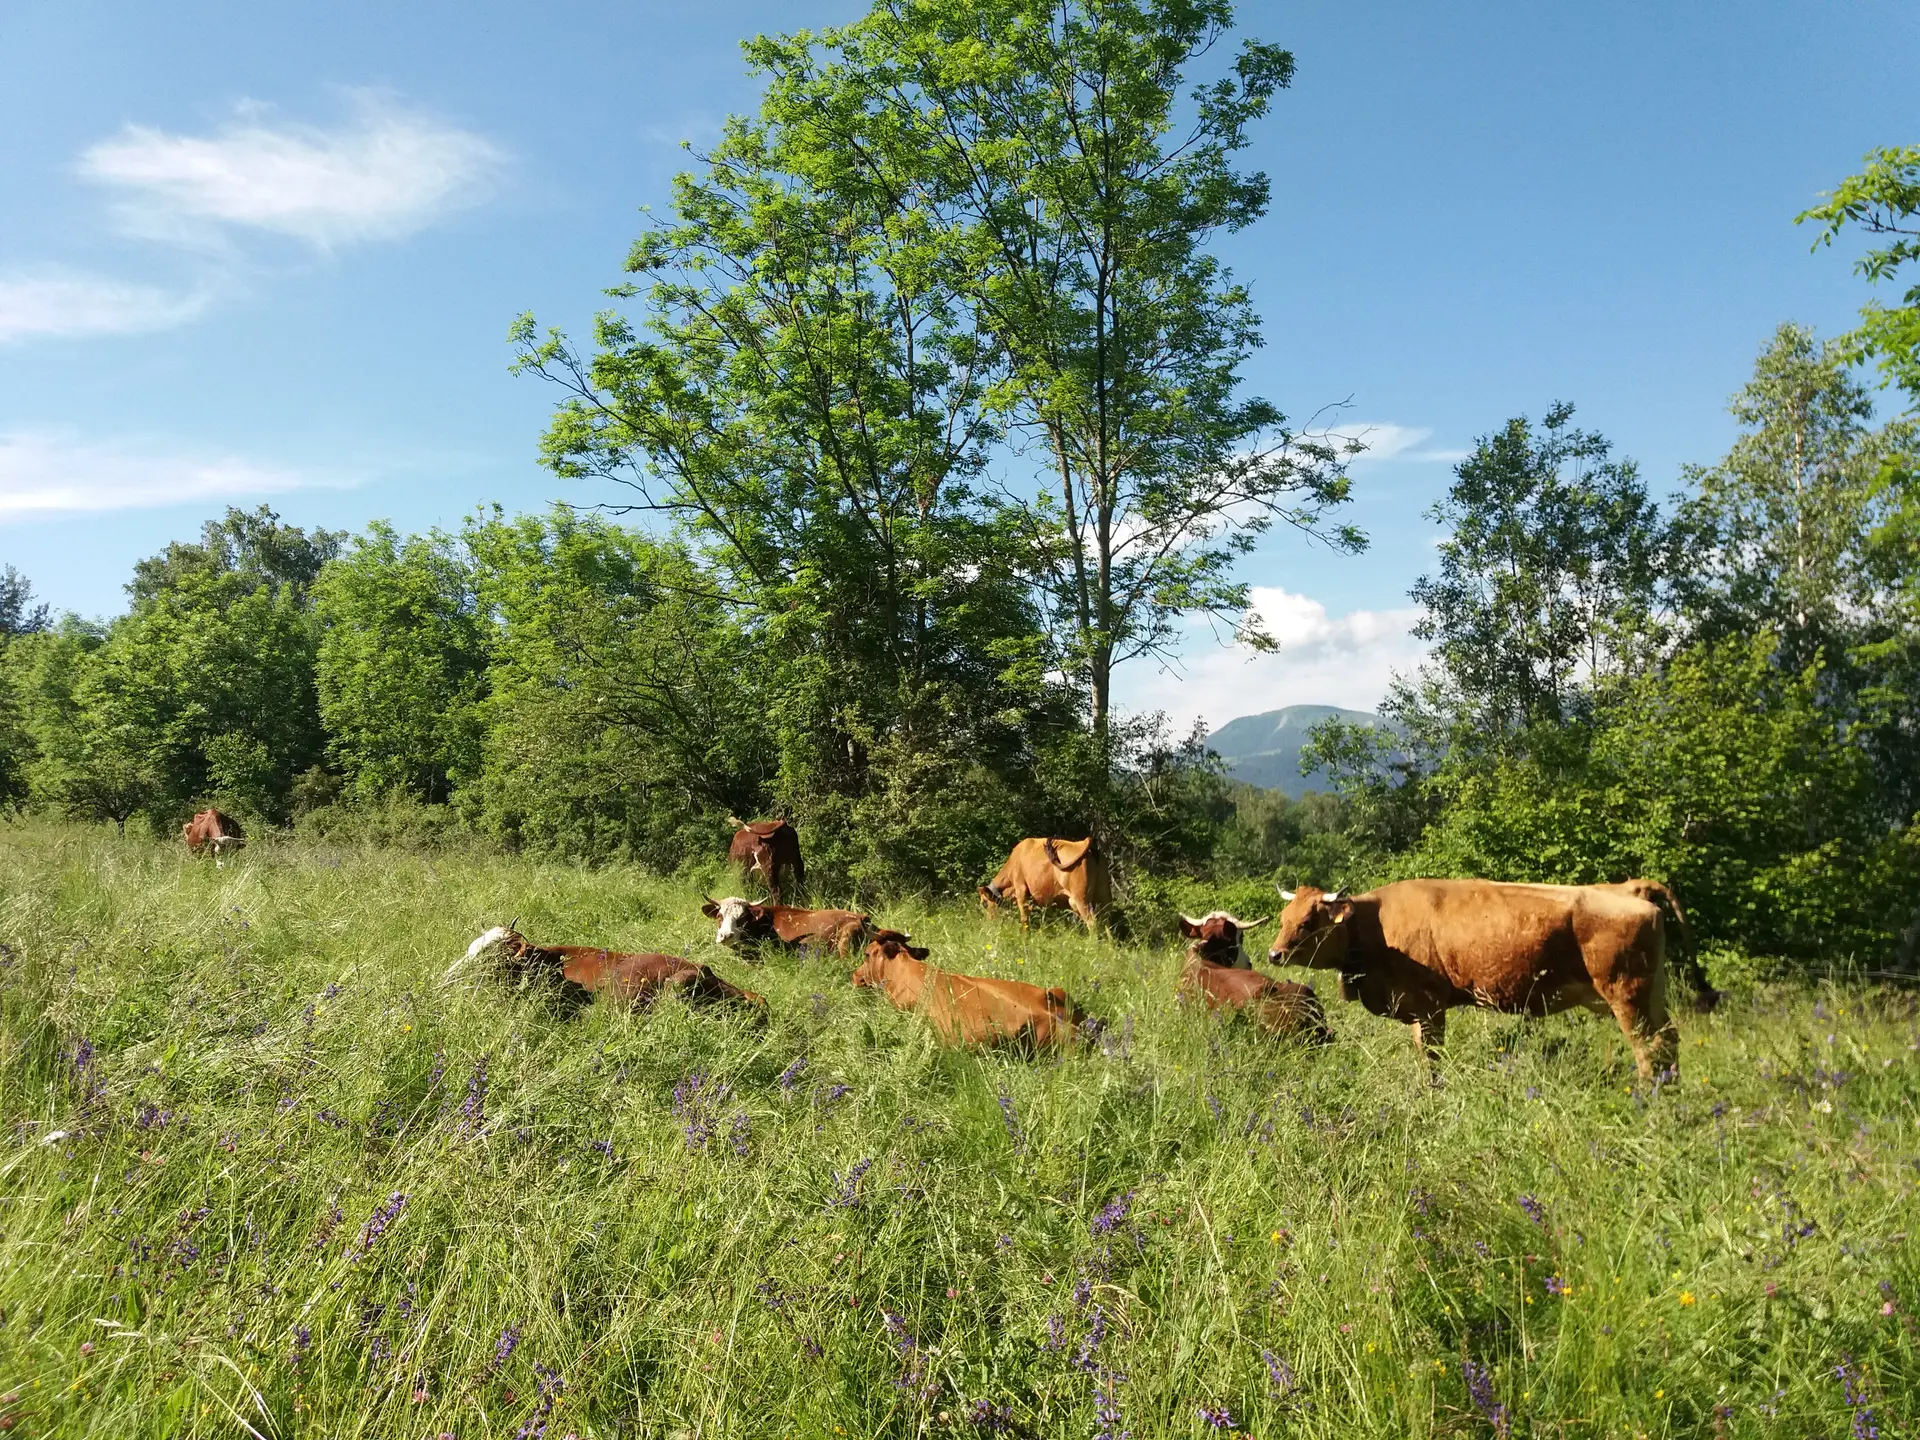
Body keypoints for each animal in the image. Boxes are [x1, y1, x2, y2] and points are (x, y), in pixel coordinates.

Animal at [978, 836, 1111, 934]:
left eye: (984, 903)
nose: (988, 924)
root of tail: (1085, 843)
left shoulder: (1021, 890)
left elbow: (1024, 919)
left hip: (1080, 898)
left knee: (1092, 922)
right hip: (1103, 895)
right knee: (1107, 921)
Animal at [1269, 880, 1678, 1080]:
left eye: (1308, 922)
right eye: (1283, 918)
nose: (1274, 955)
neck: (1377, 923)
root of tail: (1627, 888)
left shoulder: (1429, 1008)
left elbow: (1430, 1058)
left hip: (1627, 997)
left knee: (1649, 1051)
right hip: (1650, 998)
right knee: (1668, 1044)